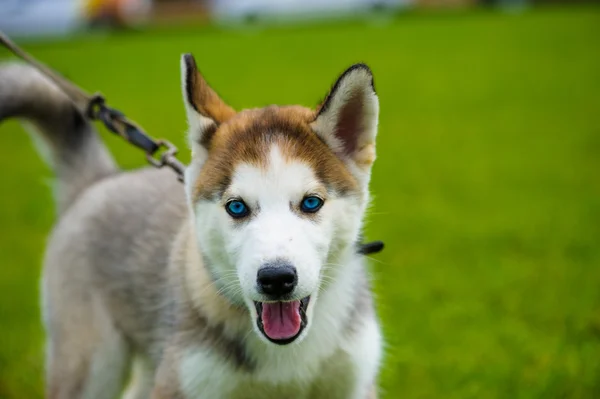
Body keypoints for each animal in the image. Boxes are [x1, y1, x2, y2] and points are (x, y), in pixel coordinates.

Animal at [0, 54, 384, 399]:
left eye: (311, 203)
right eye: (237, 207)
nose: (276, 279)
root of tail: (98, 181)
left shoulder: (354, 383)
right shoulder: (179, 383)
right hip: (92, 360)